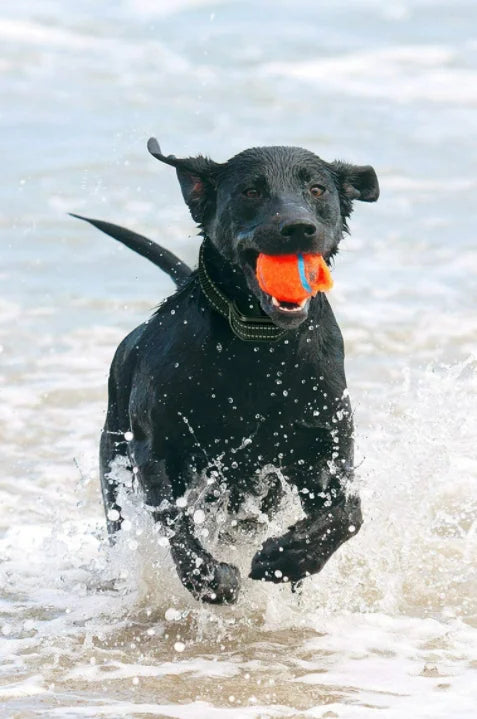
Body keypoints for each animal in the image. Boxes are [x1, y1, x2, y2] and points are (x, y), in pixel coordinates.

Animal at [73, 138, 380, 604]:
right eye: (251, 191)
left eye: (317, 190)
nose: (299, 228)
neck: (258, 342)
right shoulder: (157, 448)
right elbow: (173, 519)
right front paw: (209, 578)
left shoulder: (323, 445)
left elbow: (347, 512)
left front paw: (289, 559)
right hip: (115, 467)